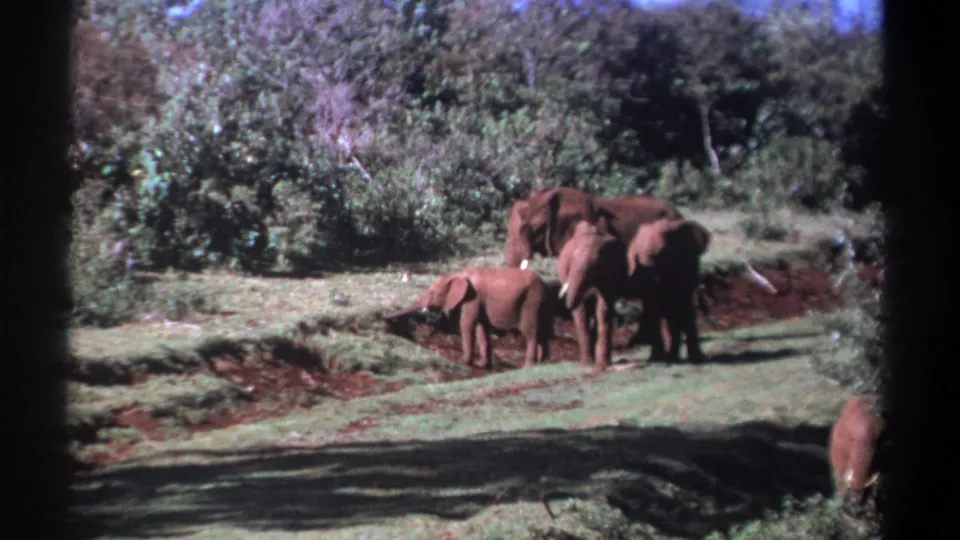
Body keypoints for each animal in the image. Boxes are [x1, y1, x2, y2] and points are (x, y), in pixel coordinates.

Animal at [384, 267, 553, 369]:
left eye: (434, 293)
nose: (384, 318)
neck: (456, 275)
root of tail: (544, 283)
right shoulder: (477, 301)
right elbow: (481, 328)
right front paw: (481, 364)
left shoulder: (471, 298)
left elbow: (467, 324)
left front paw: (463, 362)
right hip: (540, 302)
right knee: (543, 329)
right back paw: (542, 362)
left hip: (531, 299)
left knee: (530, 330)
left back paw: (529, 366)